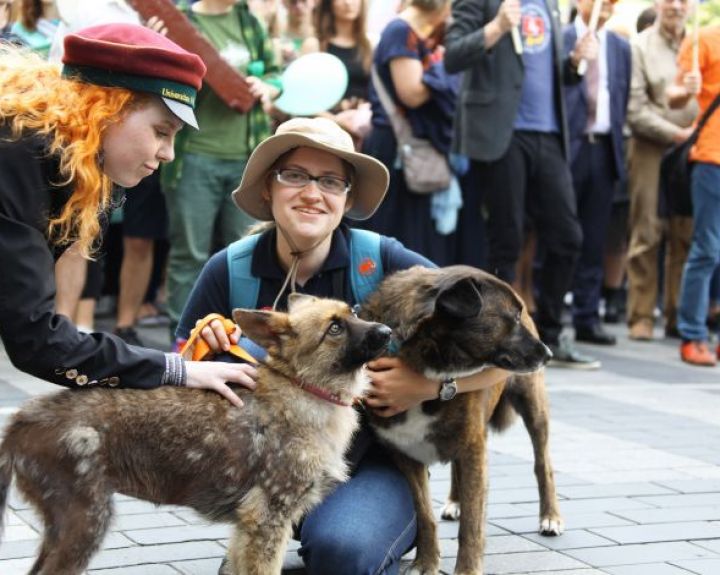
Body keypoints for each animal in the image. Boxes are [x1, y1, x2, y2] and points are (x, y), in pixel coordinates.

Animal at [0, 294, 390, 572]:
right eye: (334, 328)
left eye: (354, 311)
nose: (387, 332)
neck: (303, 389)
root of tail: (21, 420)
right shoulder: (268, 519)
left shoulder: (246, 530)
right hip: (84, 522)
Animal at [360, 266, 564, 575]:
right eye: (513, 318)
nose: (549, 354)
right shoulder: (405, 452)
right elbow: (424, 514)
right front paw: (426, 562)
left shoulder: (473, 448)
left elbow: (472, 523)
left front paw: (467, 569)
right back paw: (455, 501)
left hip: (532, 405)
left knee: (544, 464)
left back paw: (550, 516)